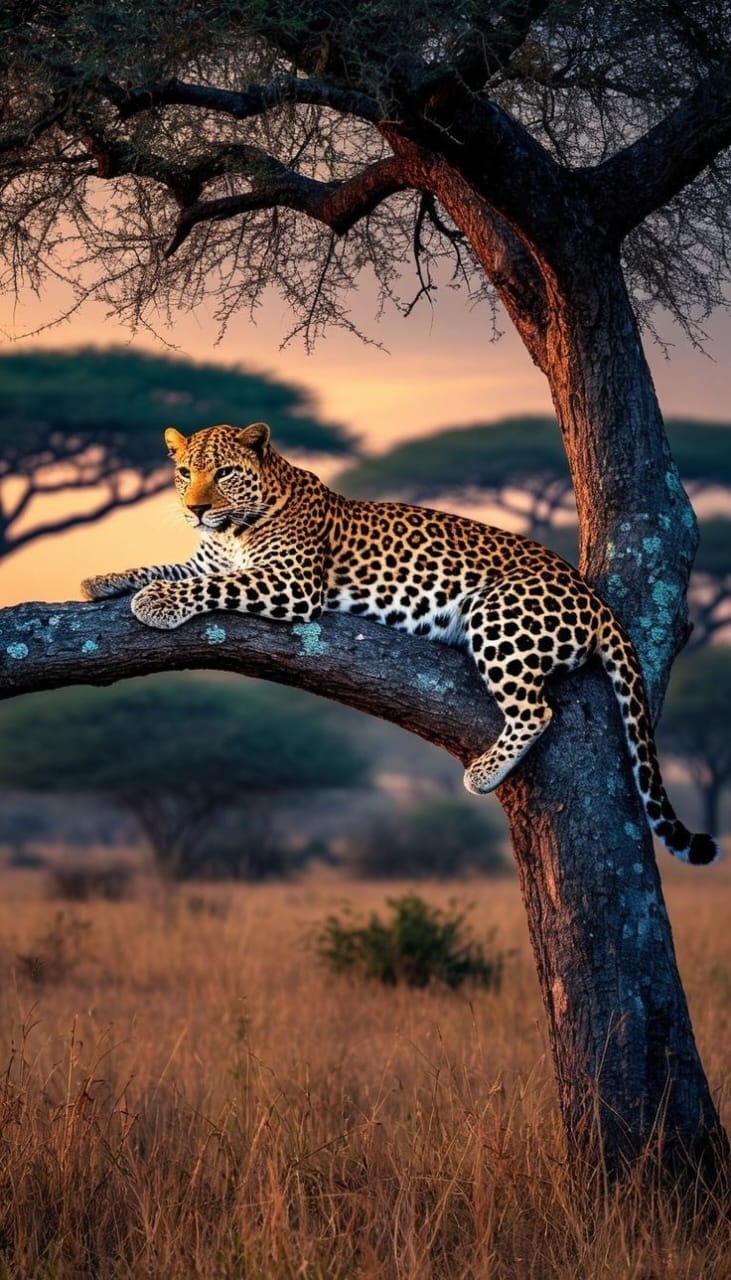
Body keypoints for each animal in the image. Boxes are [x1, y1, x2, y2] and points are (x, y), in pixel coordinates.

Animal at [82, 421, 719, 866]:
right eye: (184, 473)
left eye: (225, 474)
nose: (195, 509)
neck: (236, 529)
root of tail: (594, 596)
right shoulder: (204, 559)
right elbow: (164, 567)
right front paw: (105, 580)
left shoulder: (290, 583)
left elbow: (213, 586)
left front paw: (157, 604)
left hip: (499, 611)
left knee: (537, 709)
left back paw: (484, 772)